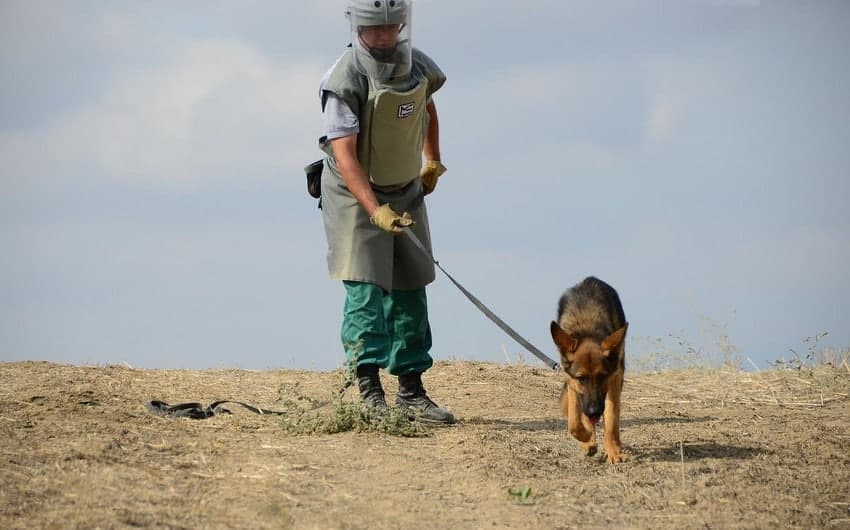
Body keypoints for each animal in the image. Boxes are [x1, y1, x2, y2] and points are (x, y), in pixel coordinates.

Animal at [548, 276, 628, 462]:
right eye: (581, 378)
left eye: (602, 376)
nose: (594, 412)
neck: (587, 330)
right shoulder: (573, 383)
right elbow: (574, 422)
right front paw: (586, 438)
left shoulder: (614, 378)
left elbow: (611, 419)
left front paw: (613, 451)